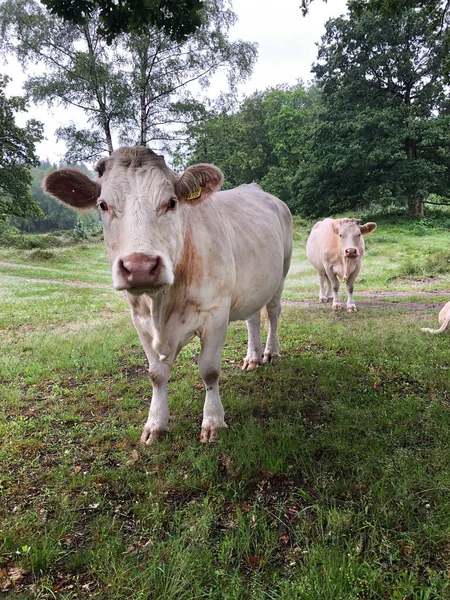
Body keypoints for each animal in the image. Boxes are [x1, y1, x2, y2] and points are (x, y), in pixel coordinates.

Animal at [44, 148, 294, 442]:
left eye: (172, 202)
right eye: (103, 205)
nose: (139, 266)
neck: (162, 306)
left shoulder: (215, 314)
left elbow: (209, 371)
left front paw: (213, 421)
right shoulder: (139, 319)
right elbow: (156, 374)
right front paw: (155, 424)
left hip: (281, 272)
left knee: (273, 312)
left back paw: (271, 353)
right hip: (252, 284)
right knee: (252, 318)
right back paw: (252, 358)